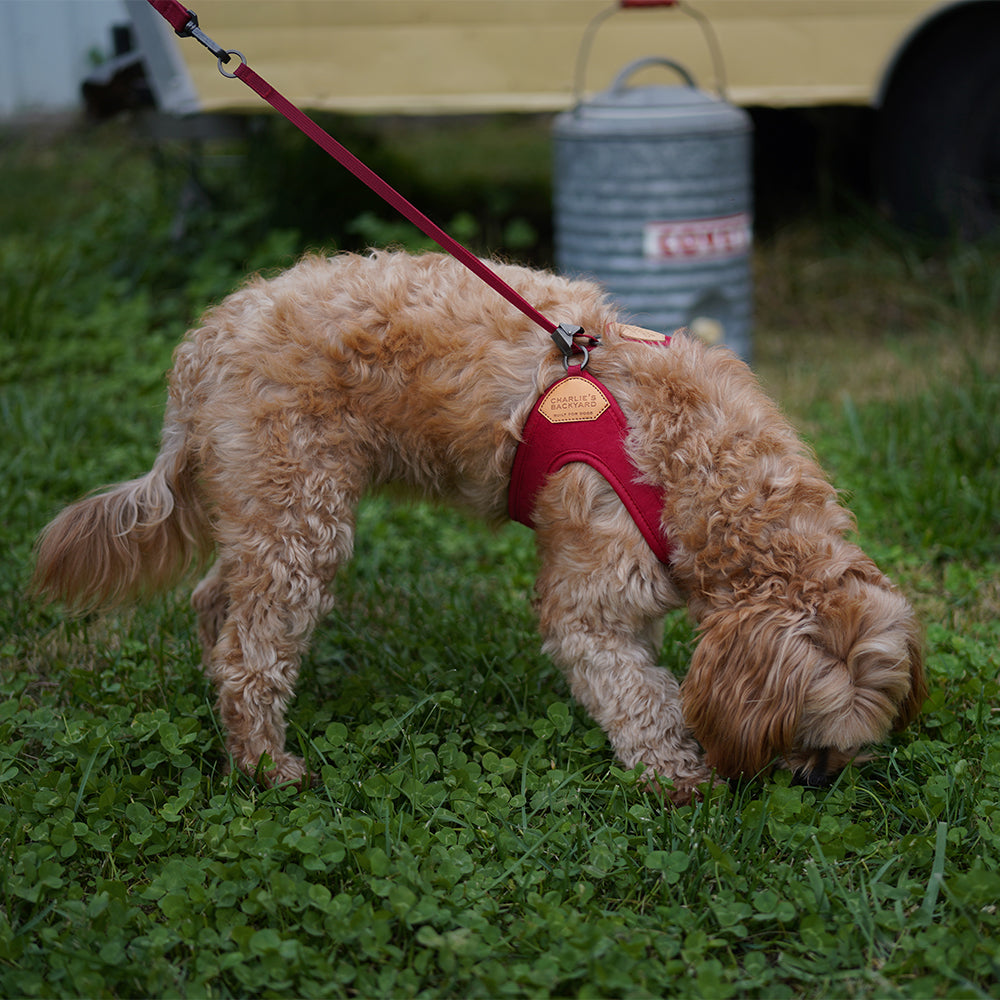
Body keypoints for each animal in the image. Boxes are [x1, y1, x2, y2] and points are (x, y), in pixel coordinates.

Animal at [31, 250, 924, 804]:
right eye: (810, 731)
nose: (822, 780)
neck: (702, 467)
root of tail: (202, 345)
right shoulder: (591, 599)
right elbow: (640, 693)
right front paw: (677, 776)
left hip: (265, 512)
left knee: (218, 606)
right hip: (301, 519)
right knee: (250, 654)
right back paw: (265, 765)